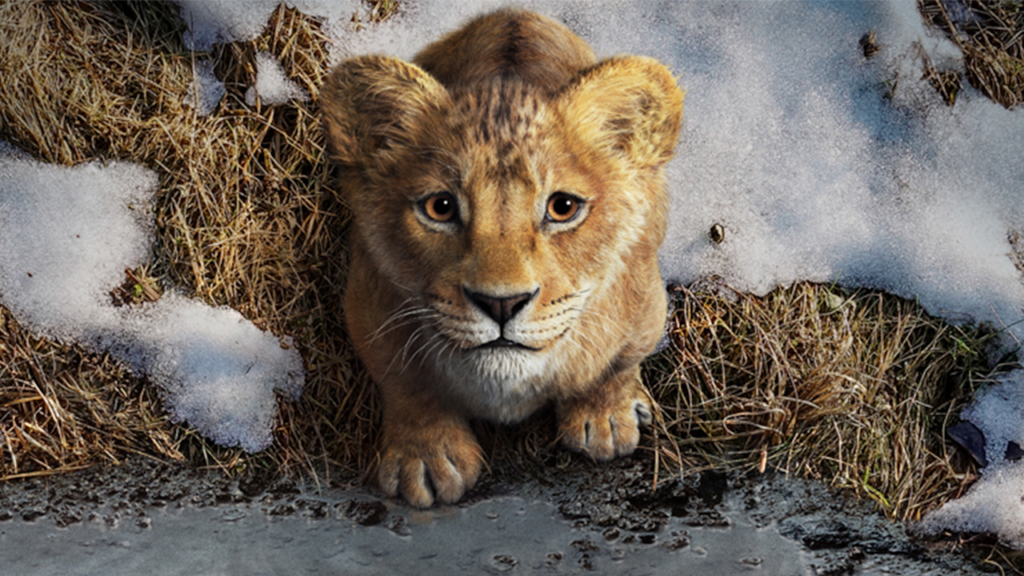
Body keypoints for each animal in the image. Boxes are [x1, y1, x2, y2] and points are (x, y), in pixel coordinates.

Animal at [321, 9, 683, 507]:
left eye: (563, 207)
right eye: (440, 207)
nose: (501, 304)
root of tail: (515, 13)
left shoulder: (645, 304)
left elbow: (616, 364)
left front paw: (605, 419)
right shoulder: (368, 304)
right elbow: (406, 383)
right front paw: (427, 458)